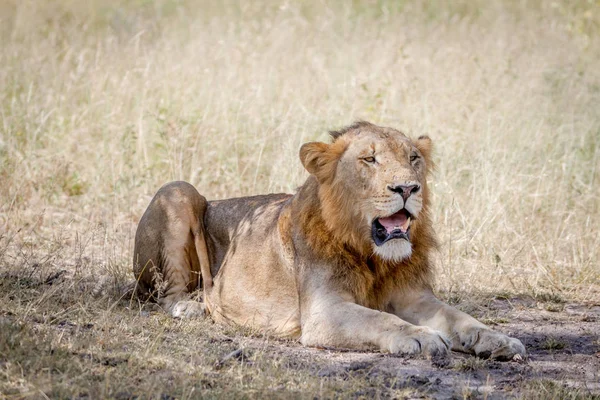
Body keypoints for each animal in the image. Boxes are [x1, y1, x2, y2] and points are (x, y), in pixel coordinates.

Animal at [132, 122, 524, 360]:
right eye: (370, 159)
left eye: (413, 158)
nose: (408, 188)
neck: (374, 256)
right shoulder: (324, 311)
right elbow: (381, 320)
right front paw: (423, 337)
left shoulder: (414, 296)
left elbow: (460, 318)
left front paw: (498, 339)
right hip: (178, 191)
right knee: (164, 294)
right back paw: (193, 307)